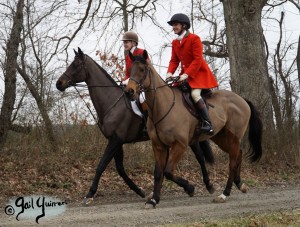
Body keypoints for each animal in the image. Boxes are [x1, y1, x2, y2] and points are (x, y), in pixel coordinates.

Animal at [55, 47, 216, 205]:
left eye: (75, 65)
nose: (59, 83)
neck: (112, 103)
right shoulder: (116, 141)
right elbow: (120, 168)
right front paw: (140, 191)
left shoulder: (115, 140)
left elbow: (102, 165)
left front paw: (89, 194)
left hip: (188, 138)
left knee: (200, 158)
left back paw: (207, 186)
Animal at [125, 49, 262, 207]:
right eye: (130, 70)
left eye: (142, 69)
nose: (129, 91)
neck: (162, 106)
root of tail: (242, 100)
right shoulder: (159, 146)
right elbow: (158, 172)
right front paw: (154, 199)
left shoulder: (180, 145)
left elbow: (168, 171)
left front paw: (189, 188)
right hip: (220, 137)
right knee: (238, 154)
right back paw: (240, 184)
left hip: (233, 137)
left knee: (232, 162)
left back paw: (224, 194)